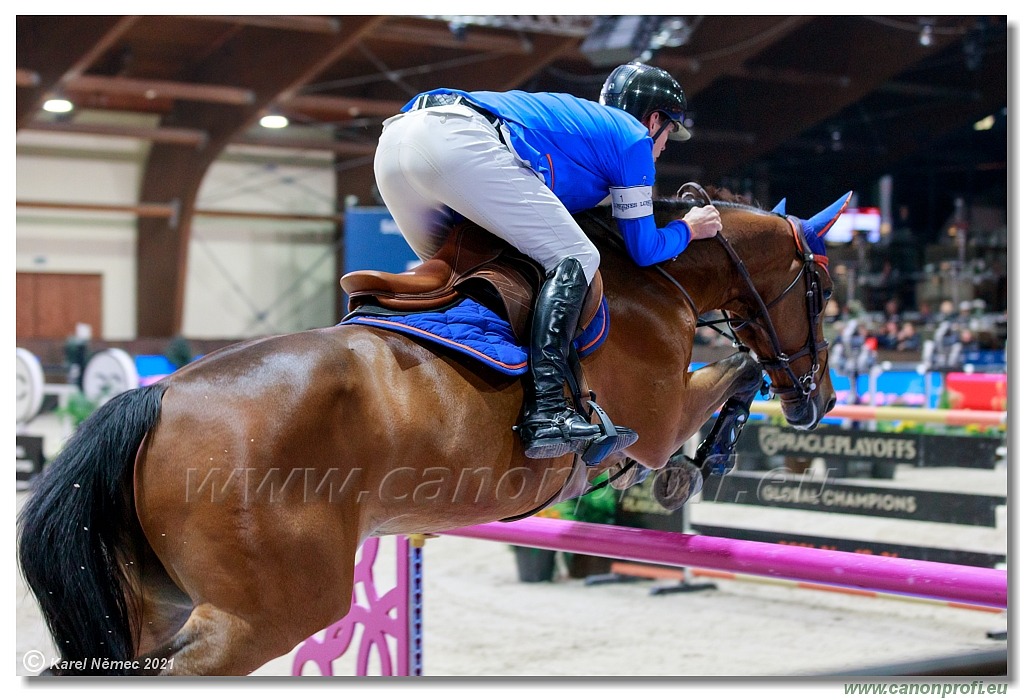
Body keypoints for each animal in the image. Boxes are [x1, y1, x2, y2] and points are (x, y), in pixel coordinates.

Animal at [19, 184, 843, 671]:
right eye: (824, 286)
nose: (822, 401)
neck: (659, 277)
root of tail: (154, 400)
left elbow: (737, 370)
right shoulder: (658, 416)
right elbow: (736, 373)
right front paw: (696, 465)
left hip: (156, 602)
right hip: (265, 614)